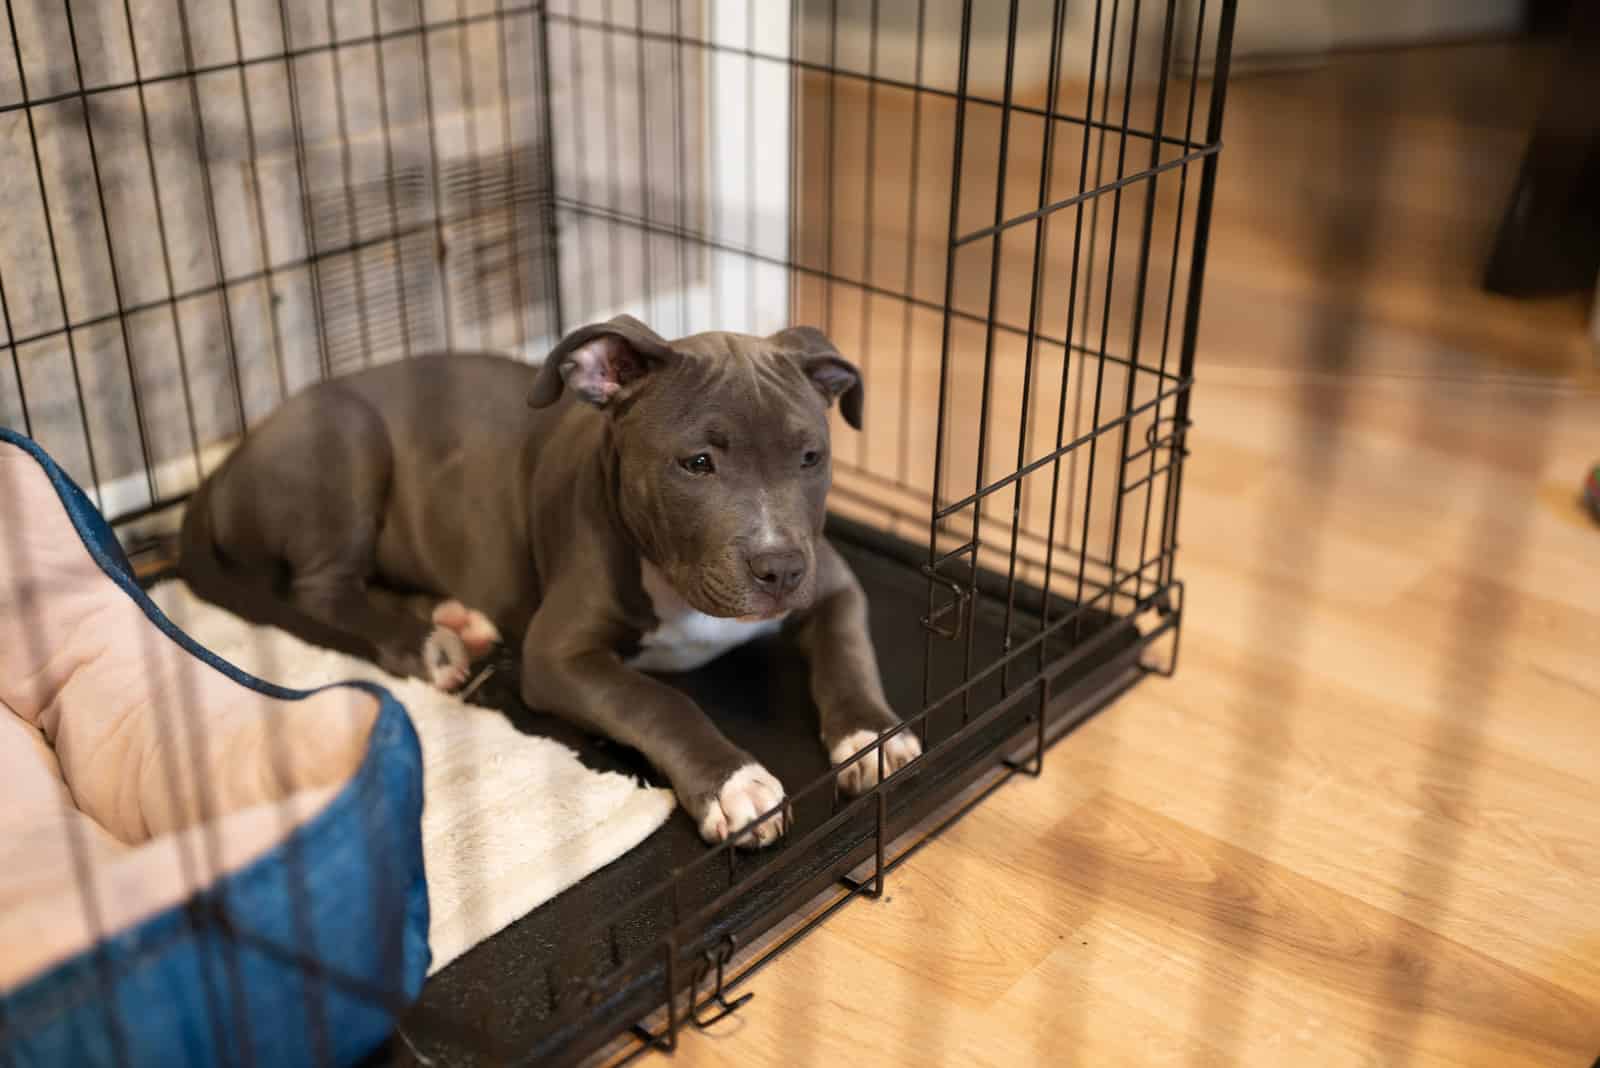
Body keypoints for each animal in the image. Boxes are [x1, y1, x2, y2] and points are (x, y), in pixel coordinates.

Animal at [176, 313, 928, 844]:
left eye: (811, 457)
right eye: (697, 464)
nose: (780, 569)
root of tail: (230, 457)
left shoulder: (833, 583)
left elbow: (847, 655)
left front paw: (870, 735)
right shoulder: (558, 657)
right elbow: (659, 702)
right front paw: (732, 782)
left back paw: (451, 616)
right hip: (346, 438)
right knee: (319, 588)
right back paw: (426, 644)